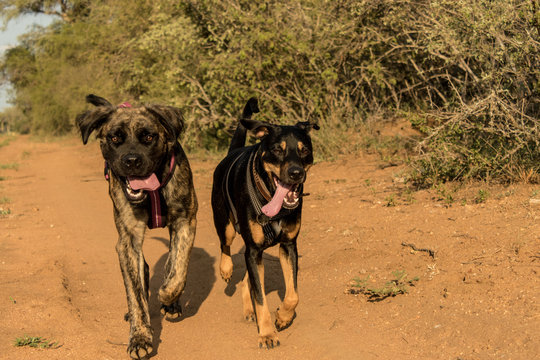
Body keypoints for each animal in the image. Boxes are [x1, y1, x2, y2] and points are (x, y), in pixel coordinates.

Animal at [75, 94, 195, 358]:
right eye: (115, 138)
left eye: (148, 137)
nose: (131, 160)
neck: (152, 193)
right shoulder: (127, 241)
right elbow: (135, 294)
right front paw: (140, 337)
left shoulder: (185, 221)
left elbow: (178, 269)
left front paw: (168, 295)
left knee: (171, 261)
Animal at [211, 97, 318, 348]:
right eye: (278, 150)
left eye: (304, 150)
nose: (296, 173)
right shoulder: (253, 250)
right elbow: (261, 298)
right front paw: (267, 333)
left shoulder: (288, 246)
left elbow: (292, 294)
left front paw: (283, 317)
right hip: (226, 224)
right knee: (225, 245)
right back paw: (226, 269)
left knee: (248, 280)